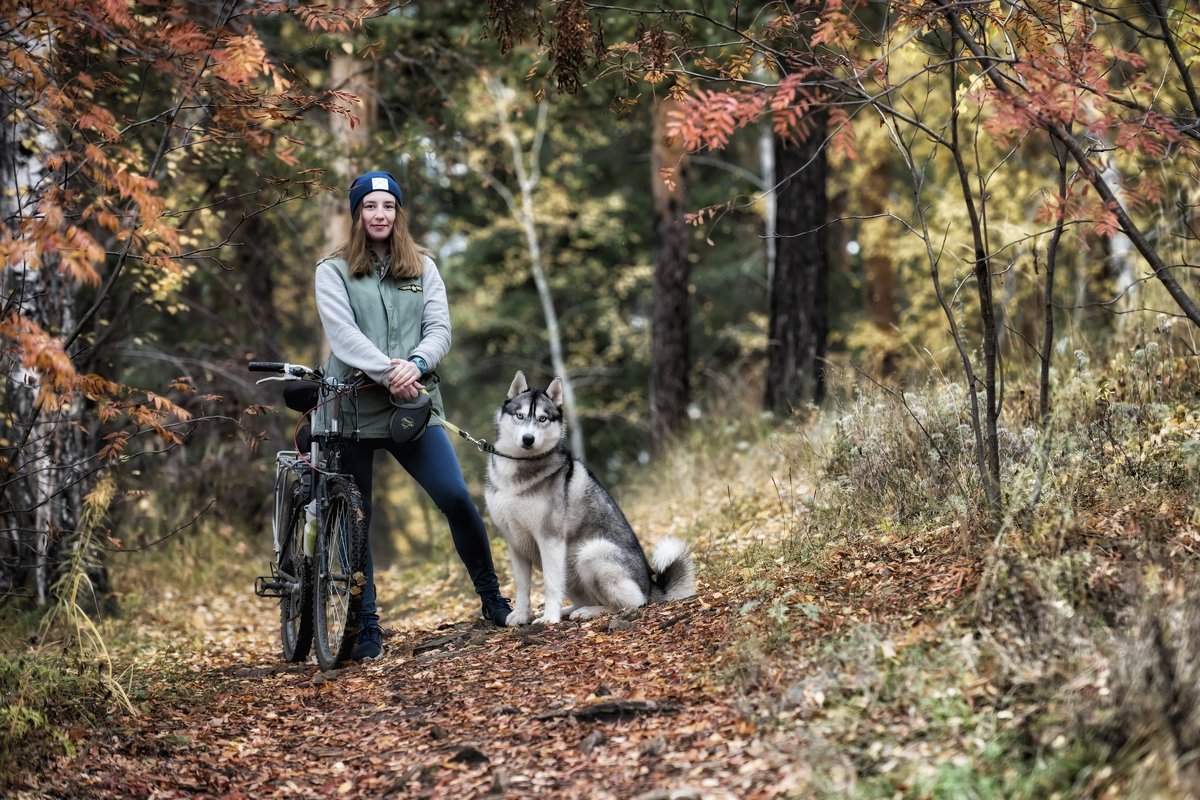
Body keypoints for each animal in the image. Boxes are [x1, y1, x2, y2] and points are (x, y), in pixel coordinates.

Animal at [484, 371, 700, 628]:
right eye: (520, 416)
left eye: (543, 419)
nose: (528, 439)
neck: (518, 471)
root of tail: (651, 587)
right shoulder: (515, 543)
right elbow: (521, 585)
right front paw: (521, 615)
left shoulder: (550, 539)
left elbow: (550, 584)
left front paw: (549, 618)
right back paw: (572, 609)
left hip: (590, 552)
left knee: (630, 603)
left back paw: (588, 611)